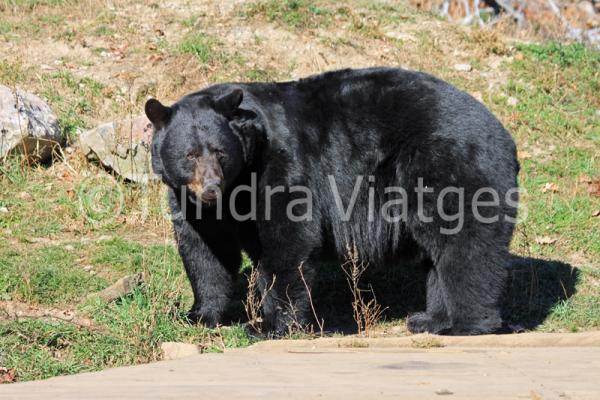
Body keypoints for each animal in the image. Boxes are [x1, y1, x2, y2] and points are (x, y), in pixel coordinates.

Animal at [146, 67, 520, 336]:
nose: (211, 187)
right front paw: (199, 314)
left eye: (221, 152)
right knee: (438, 254)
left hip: (448, 166)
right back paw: (430, 320)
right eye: (190, 154)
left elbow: (288, 239)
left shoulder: (281, 163)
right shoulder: (193, 202)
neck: (238, 182)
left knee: (464, 244)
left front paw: (271, 325)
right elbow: (206, 249)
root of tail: (504, 135)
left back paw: (465, 324)